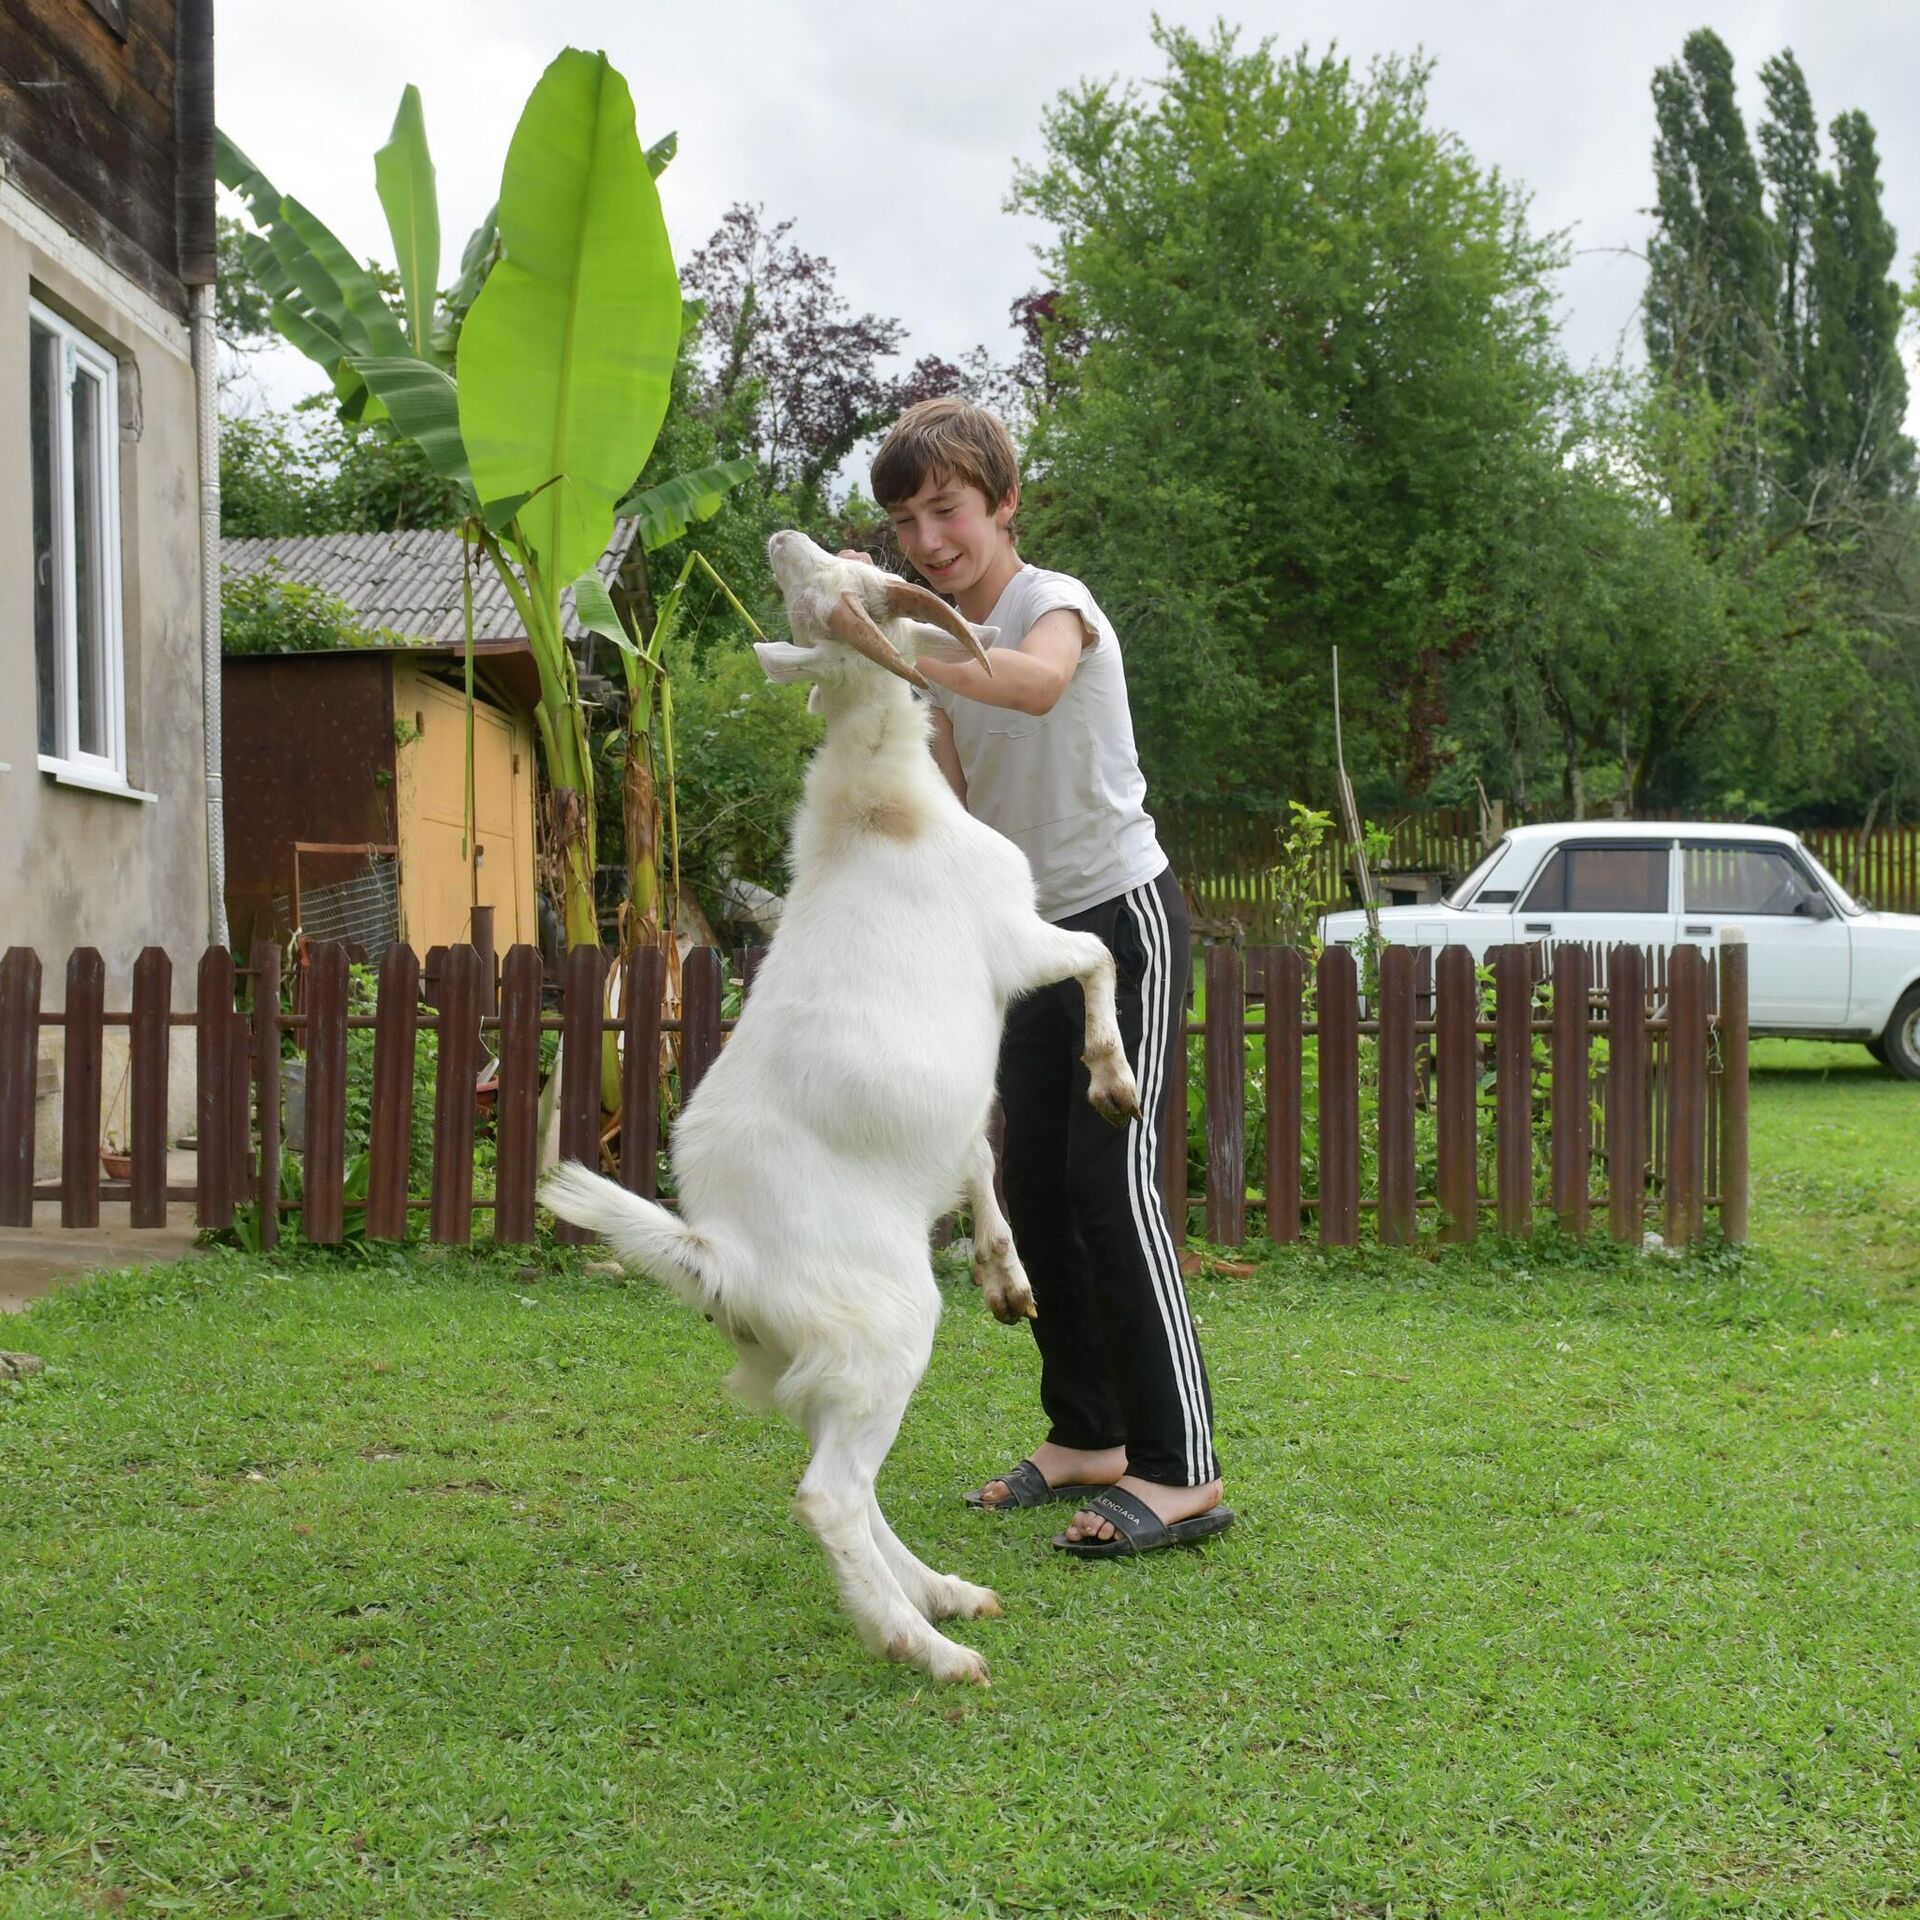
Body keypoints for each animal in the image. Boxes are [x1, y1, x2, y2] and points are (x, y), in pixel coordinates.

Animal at [537, 529, 1136, 1681]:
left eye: (835, 577)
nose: (780, 540)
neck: (877, 812)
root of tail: (720, 1252)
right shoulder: (1016, 947)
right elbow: (1095, 958)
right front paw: (1112, 1084)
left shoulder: (965, 1097)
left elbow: (981, 1159)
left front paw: (1009, 1279)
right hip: (885, 1336)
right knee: (827, 1494)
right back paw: (925, 1646)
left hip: (813, 1365)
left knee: (847, 1483)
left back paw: (945, 1595)